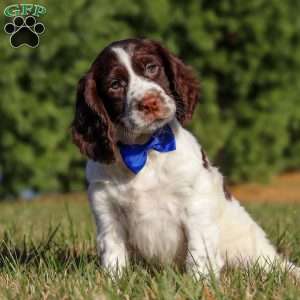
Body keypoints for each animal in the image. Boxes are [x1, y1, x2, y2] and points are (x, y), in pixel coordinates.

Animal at [71, 38, 300, 278]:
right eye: (115, 84)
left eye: (152, 68)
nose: (150, 102)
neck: (145, 150)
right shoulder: (107, 211)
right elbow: (113, 254)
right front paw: (114, 281)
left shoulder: (195, 203)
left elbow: (199, 250)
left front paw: (201, 282)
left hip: (253, 250)